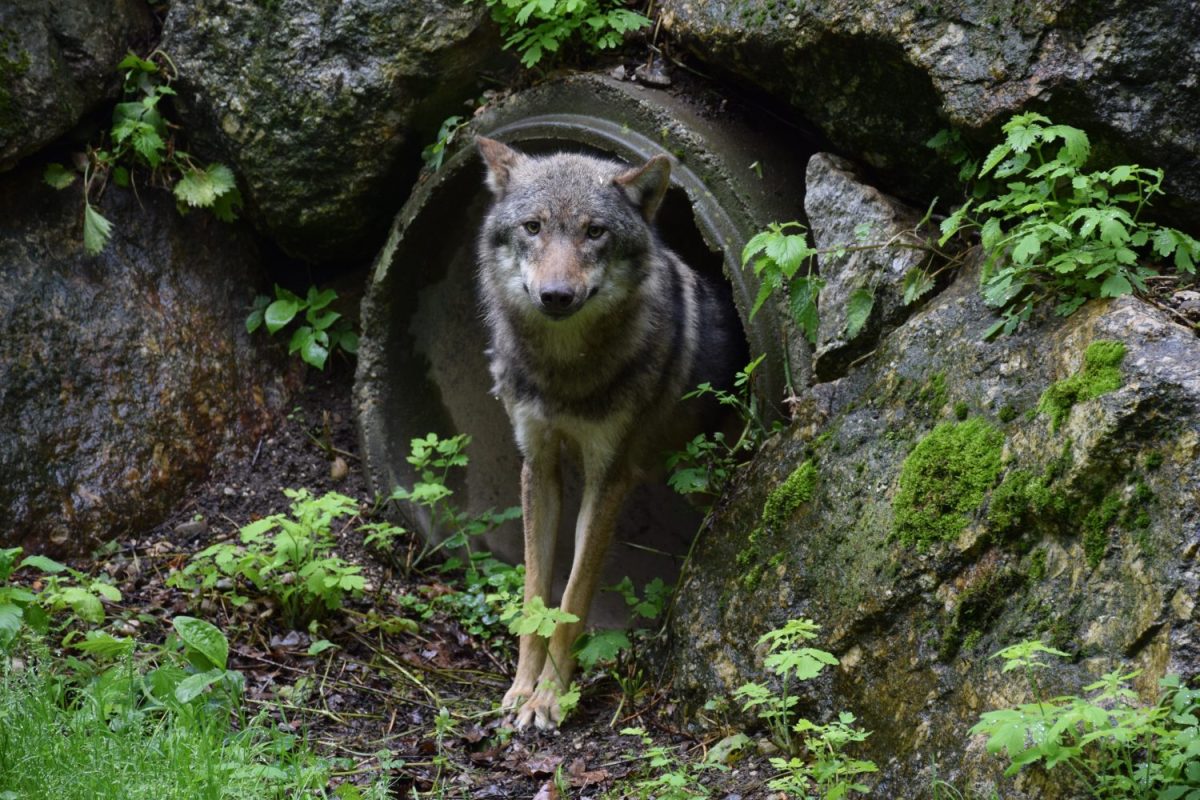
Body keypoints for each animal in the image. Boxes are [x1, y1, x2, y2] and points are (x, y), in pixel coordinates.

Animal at [472, 137, 744, 734]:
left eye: (594, 232)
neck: (563, 372)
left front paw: (549, 699)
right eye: (532, 227)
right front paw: (520, 691)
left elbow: (573, 599)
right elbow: (534, 595)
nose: (555, 295)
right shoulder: (538, 466)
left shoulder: (609, 477)